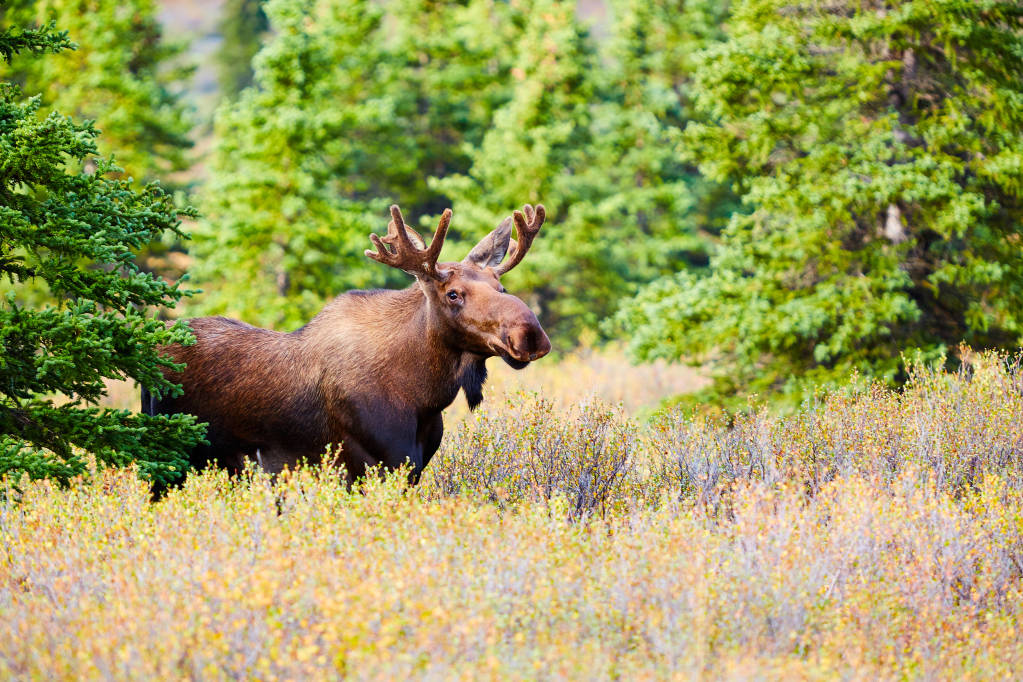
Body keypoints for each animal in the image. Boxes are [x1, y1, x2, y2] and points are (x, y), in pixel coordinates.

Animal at [144, 202, 552, 480]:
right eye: (453, 294)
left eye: (501, 286)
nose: (530, 334)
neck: (423, 394)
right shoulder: (368, 464)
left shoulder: (413, 468)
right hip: (168, 457)